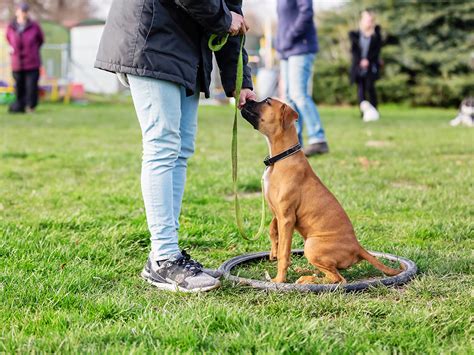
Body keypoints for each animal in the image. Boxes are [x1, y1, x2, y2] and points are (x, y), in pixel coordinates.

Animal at [241, 98, 400, 286]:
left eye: (267, 101)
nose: (247, 99)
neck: (282, 157)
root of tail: (358, 247)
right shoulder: (277, 211)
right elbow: (272, 230)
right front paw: (273, 251)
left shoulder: (287, 218)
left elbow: (284, 253)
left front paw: (279, 279)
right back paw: (306, 272)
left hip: (312, 245)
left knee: (338, 279)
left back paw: (307, 279)